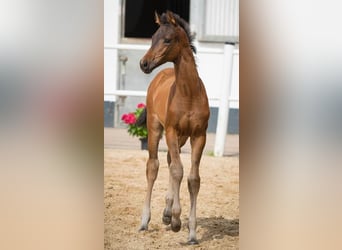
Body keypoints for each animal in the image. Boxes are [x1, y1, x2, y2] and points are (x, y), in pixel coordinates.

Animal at [138, 11, 208, 244]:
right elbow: (178, 170)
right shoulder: (170, 130)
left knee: (169, 161)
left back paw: (167, 213)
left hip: (181, 138)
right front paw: (177, 221)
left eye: (167, 39)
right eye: (152, 38)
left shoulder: (199, 136)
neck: (189, 94)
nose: (144, 63)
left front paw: (192, 233)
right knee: (154, 166)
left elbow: (193, 179)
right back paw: (145, 221)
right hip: (155, 129)